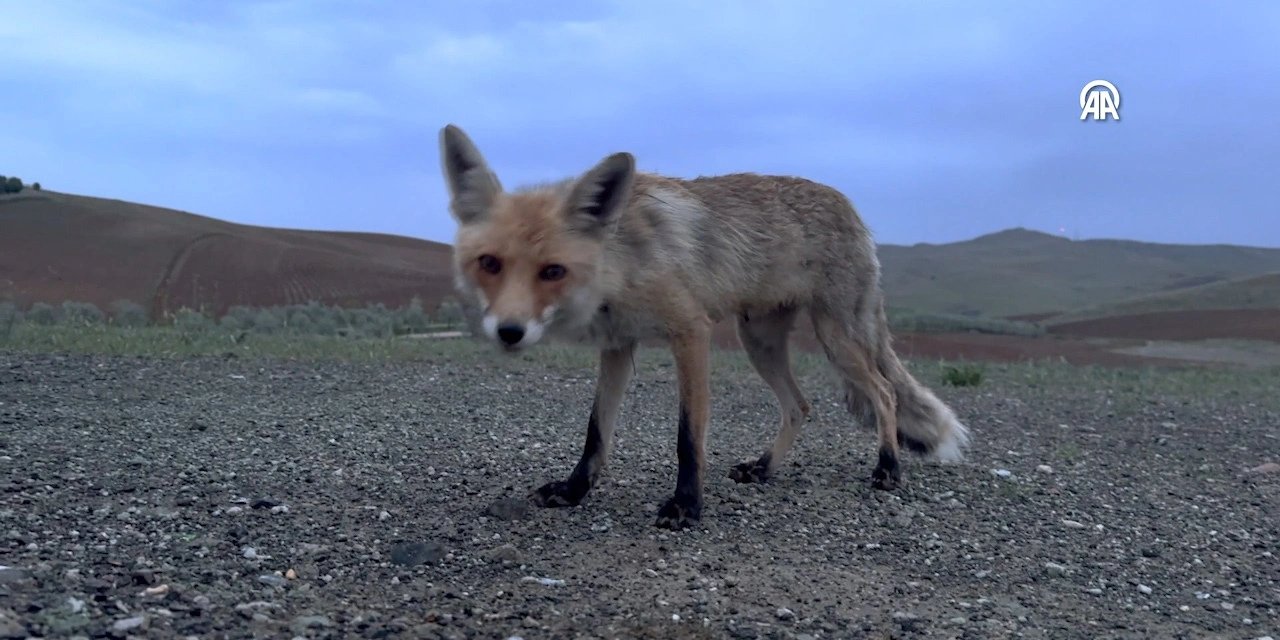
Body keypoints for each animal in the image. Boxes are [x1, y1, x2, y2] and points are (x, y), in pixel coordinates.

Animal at [435, 123, 962, 529]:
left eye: (553, 271)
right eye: (489, 264)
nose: (509, 331)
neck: (622, 266)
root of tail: (851, 207)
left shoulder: (691, 332)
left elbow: (688, 437)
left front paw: (686, 505)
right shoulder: (618, 345)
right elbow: (596, 432)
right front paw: (574, 490)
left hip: (835, 337)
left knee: (884, 392)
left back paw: (888, 468)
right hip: (759, 341)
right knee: (800, 405)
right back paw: (764, 468)